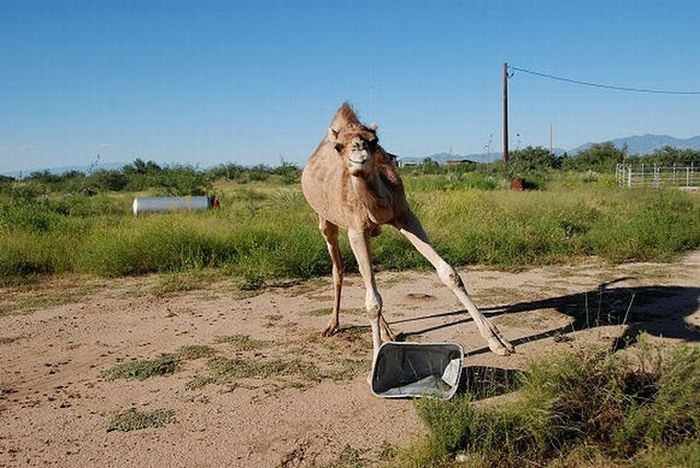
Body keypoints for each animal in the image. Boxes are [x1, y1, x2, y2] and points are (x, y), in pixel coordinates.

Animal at [300, 102, 516, 360]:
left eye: (375, 140)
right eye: (338, 146)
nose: (359, 149)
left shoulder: (405, 215)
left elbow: (450, 274)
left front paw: (498, 341)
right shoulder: (356, 228)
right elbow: (372, 301)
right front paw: (376, 358)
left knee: (365, 278)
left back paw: (388, 332)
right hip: (326, 220)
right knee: (339, 268)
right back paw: (333, 326)